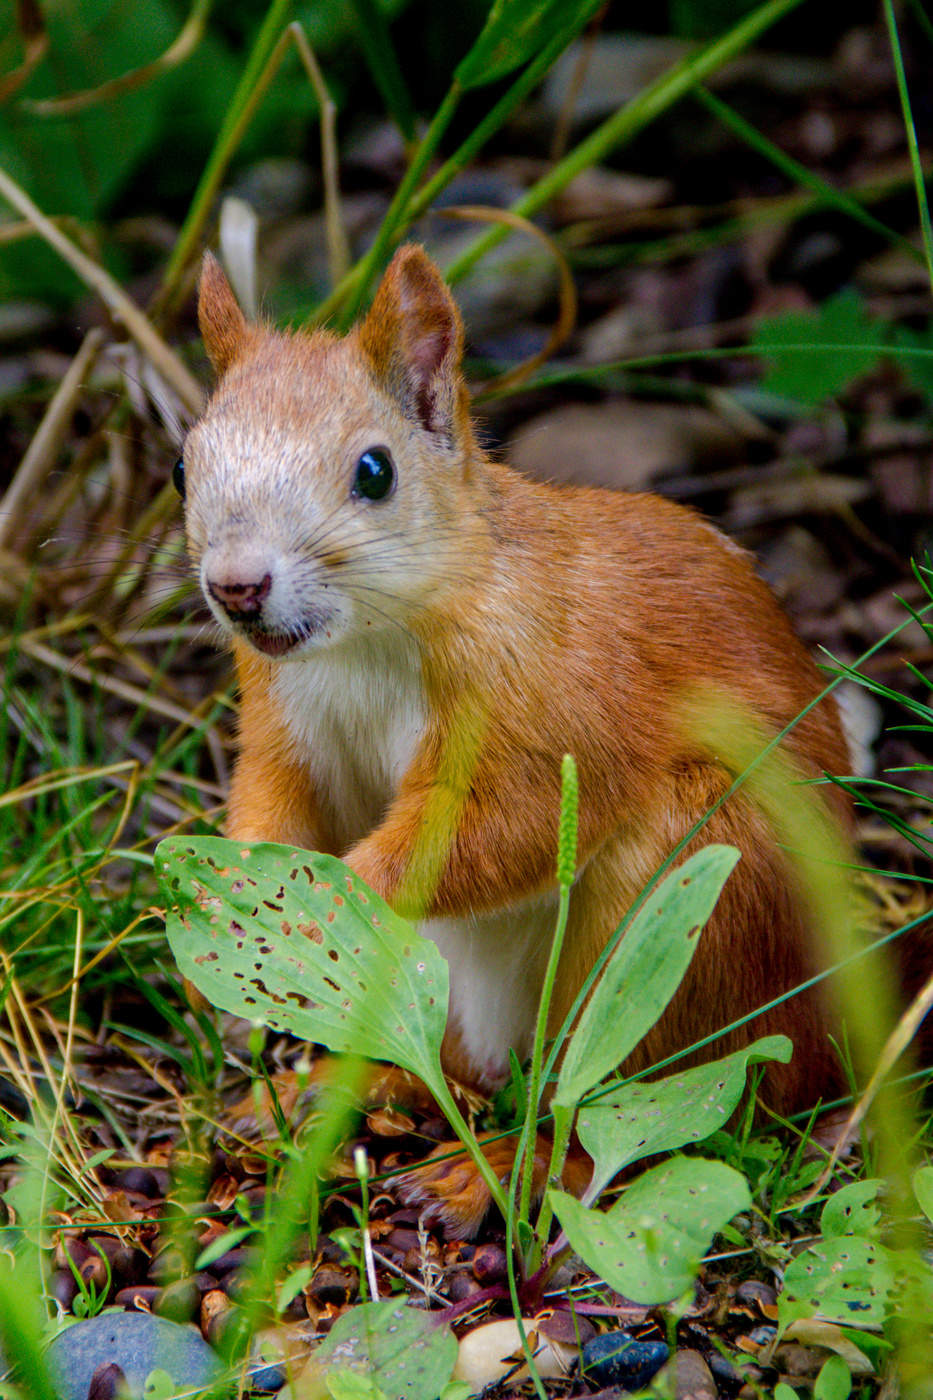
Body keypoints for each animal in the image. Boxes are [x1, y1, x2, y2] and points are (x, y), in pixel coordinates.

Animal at [178, 243, 854, 1236]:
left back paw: (492, 1169)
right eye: (183, 466)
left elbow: (493, 828)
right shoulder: (283, 721)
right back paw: (350, 1091)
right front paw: (227, 918)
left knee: (623, 1107)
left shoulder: (549, 708)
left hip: (692, 915)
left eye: (374, 471)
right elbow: (274, 812)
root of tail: (830, 1043)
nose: (236, 586)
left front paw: (334, 901)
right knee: (459, 1064)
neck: (368, 640)